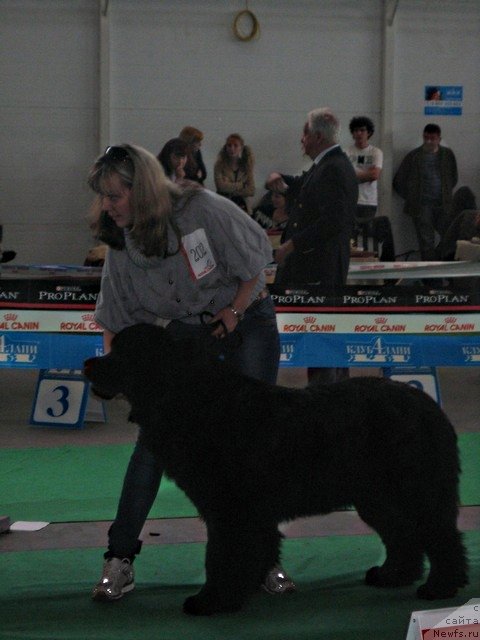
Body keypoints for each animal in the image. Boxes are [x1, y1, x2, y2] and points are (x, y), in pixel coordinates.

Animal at [83, 324, 468, 616]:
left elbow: (220, 556)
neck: (191, 399)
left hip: (415, 489)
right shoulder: (245, 513)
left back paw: (440, 587)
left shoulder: (230, 511)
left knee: (441, 535)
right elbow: (254, 548)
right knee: (404, 534)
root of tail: (428, 405)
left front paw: (212, 601)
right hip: (377, 497)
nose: (88, 363)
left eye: (120, 354)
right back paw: (393, 575)